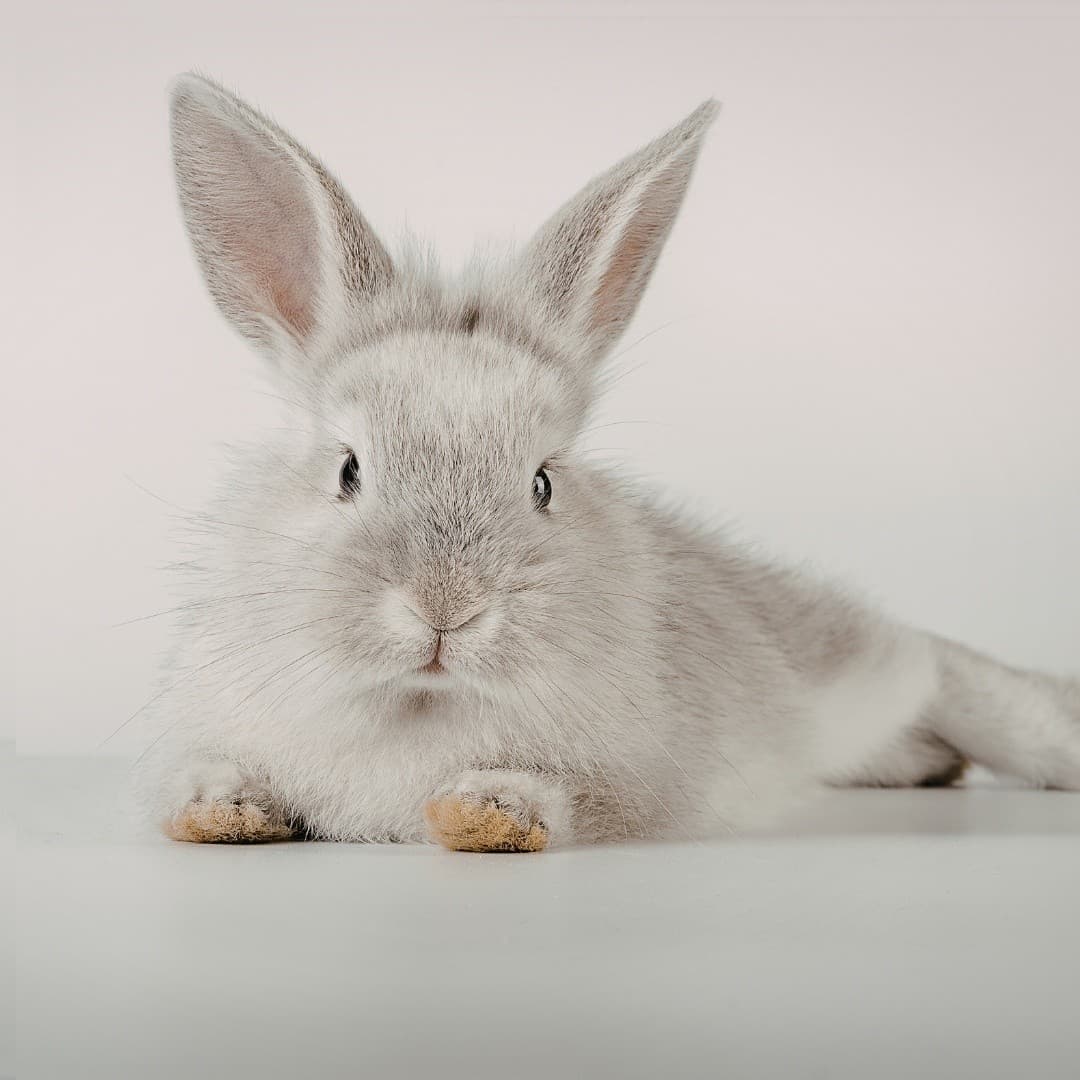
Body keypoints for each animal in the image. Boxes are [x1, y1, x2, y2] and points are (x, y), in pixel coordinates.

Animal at [137, 72, 1080, 851]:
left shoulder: (634, 783)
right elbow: (205, 775)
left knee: (954, 673)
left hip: (866, 659)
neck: (418, 704)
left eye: (543, 483)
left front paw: (485, 813)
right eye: (347, 471)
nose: (447, 609)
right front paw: (221, 810)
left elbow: (572, 799)